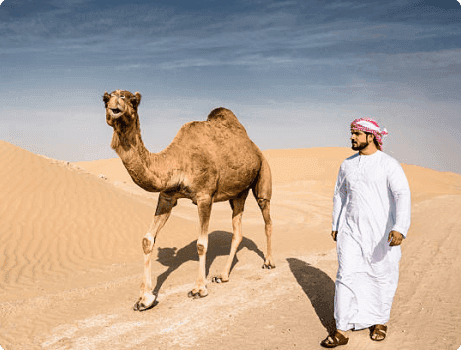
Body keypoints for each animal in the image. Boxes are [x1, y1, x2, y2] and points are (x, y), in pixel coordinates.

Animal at [102, 90, 274, 312]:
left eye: (132, 100)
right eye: (105, 99)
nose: (115, 104)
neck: (177, 162)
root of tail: (255, 147)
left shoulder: (204, 197)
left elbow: (201, 243)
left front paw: (199, 289)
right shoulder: (167, 197)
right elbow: (147, 240)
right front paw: (144, 299)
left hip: (263, 172)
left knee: (266, 215)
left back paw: (269, 262)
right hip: (238, 193)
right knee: (237, 230)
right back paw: (223, 276)